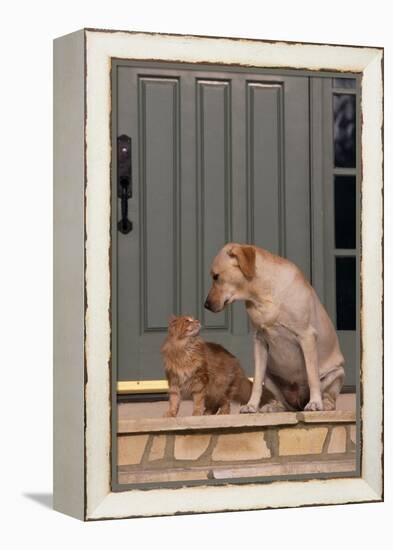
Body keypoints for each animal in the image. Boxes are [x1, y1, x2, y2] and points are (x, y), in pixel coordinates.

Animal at [204, 244, 344, 412]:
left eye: (216, 276)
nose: (205, 305)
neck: (262, 295)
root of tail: (299, 402)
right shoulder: (259, 341)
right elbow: (257, 383)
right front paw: (251, 405)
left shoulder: (307, 336)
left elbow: (312, 376)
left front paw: (315, 402)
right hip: (270, 378)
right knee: (285, 404)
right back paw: (273, 406)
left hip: (336, 374)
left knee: (329, 396)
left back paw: (324, 404)